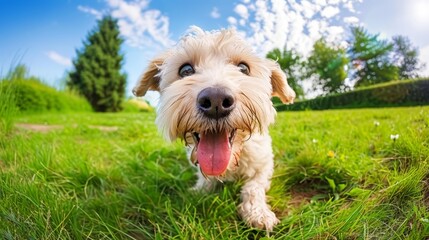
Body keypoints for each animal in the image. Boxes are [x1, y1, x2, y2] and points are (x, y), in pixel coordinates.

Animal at [134, 26, 294, 231]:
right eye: (185, 70)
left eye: (244, 68)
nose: (216, 100)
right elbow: (205, 179)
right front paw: (198, 190)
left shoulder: (263, 164)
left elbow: (254, 187)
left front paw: (257, 212)